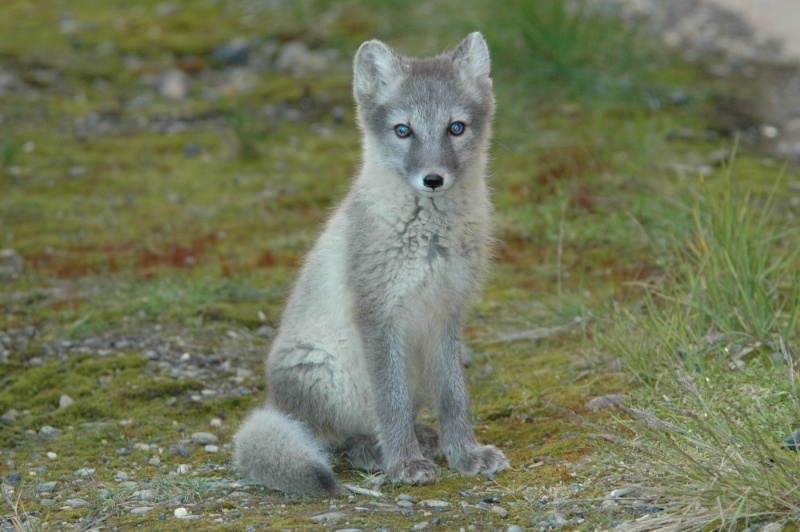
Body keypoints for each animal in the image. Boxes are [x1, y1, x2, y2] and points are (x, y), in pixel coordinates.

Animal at [233, 32, 508, 496]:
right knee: (338, 439)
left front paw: (465, 453)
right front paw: (405, 464)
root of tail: (275, 403)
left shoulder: (447, 311)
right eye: (403, 130)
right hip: (326, 372)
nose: (433, 179)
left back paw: (426, 438)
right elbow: (390, 402)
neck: (430, 236)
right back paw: (375, 451)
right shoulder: (378, 313)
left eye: (456, 128)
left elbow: (455, 397)